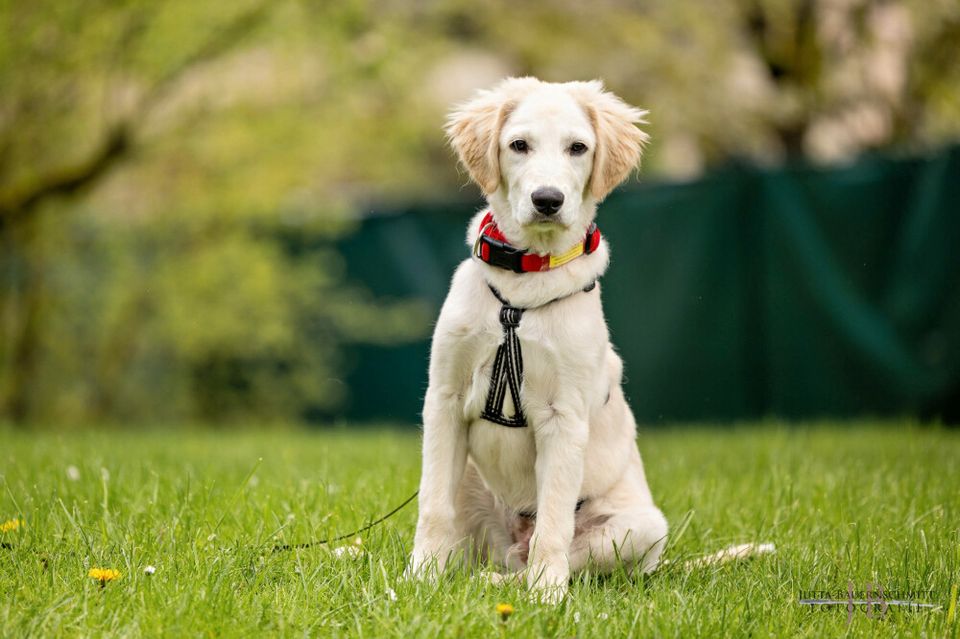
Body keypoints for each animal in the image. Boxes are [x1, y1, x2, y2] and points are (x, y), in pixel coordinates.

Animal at [408, 77, 672, 604]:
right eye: (518, 145)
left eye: (578, 148)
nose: (547, 200)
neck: (525, 281)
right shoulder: (443, 399)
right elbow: (432, 505)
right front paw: (419, 578)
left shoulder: (563, 418)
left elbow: (554, 522)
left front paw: (547, 598)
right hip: (471, 478)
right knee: (483, 550)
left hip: (643, 527)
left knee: (553, 556)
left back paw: (516, 584)